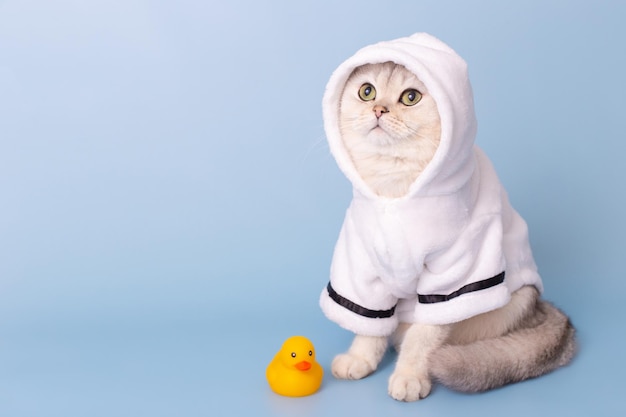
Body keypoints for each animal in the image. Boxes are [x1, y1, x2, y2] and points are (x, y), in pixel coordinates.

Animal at [320, 35, 572, 400]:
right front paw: (360, 359)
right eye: (366, 91)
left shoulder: (450, 277)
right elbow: (369, 327)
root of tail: (542, 308)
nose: (379, 110)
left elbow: (423, 337)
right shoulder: (362, 270)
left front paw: (409, 376)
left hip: (508, 300)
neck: (395, 191)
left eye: (410, 97)